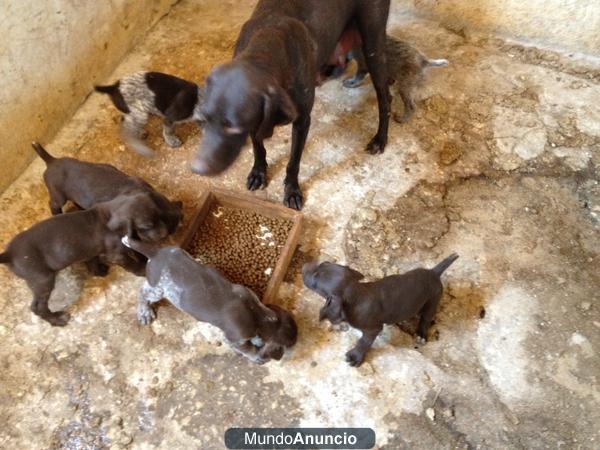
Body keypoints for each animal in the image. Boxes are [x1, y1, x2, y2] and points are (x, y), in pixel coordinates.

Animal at [0, 193, 149, 326]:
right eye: (147, 225)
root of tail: (9, 253)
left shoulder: (91, 250)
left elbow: (93, 261)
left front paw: (99, 271)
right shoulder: (117, 254)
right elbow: (131, 263)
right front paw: (142, 269)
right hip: (42, 280)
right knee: (38, 307)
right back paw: (57, 319)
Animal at [32, 142, 182, 239]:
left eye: (160, 215)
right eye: (145, 227)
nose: (165, 234)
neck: (131, 191)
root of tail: (51, 161)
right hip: (58, 195)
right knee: (53, 204)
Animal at [122, 237, 300, 364]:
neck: (258, 315)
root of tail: (155, 254)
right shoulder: (234, 338)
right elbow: (247, 349)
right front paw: (255, 357)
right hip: (158, 289)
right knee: (143, 292)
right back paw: (144, 312)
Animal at [190, 0, 392, 211]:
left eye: (234, 128)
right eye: (202, 121)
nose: (197, 169)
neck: (264, 49)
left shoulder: (302, 121)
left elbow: (293, 162)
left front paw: (292, 190)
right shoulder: (257, 122)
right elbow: (258, 147)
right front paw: (258, 172)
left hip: (373, 45)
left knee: (385, 97)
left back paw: (380, 139)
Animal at [302, 253, 458, 366]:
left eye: (315, 281)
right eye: (324, 263)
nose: (304, 265)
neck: (358, 294)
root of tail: (434, 272)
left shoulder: (373, 329)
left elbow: (363, 342)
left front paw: (355, 356)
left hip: (432, 301)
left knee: (425, 319)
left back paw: (421, 334)